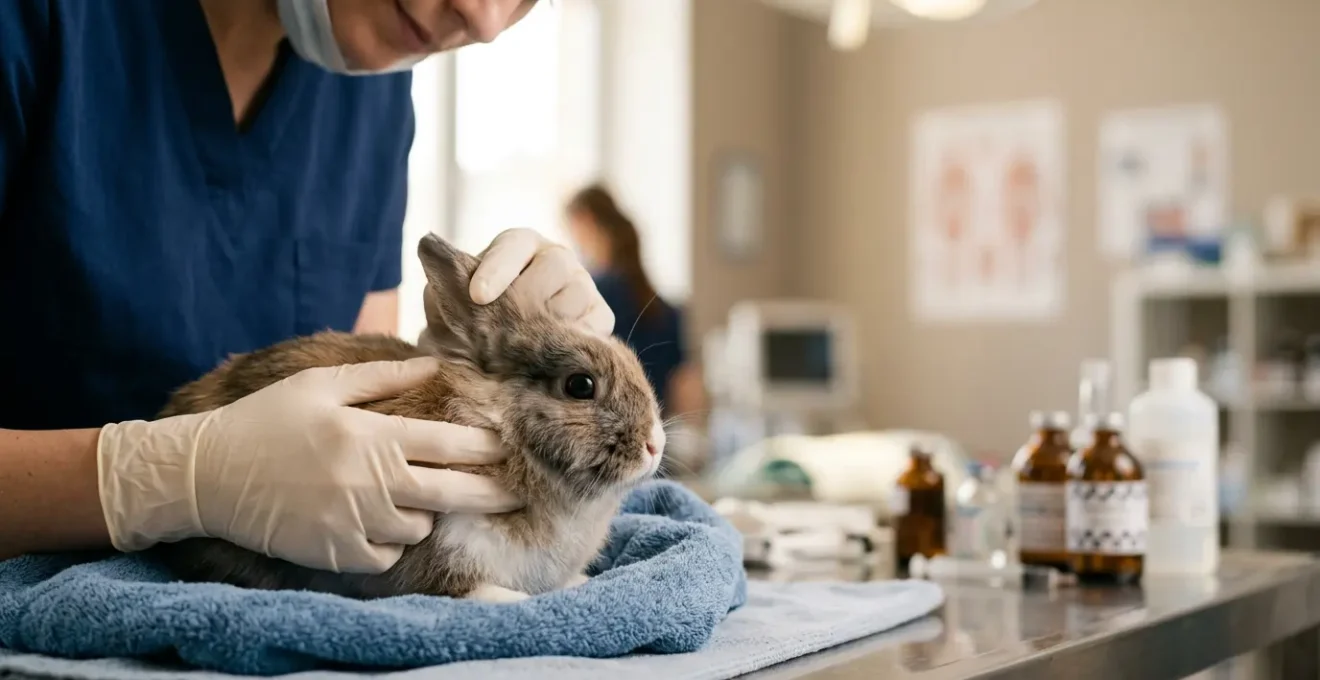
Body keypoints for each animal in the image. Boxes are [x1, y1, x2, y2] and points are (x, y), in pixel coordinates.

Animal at [151, 233, 666, 603]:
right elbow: (470, 591)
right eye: (580, 385)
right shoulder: (444, 552)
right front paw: (519, 601)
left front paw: (577, 583)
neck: (502, 428)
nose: (655, 444)